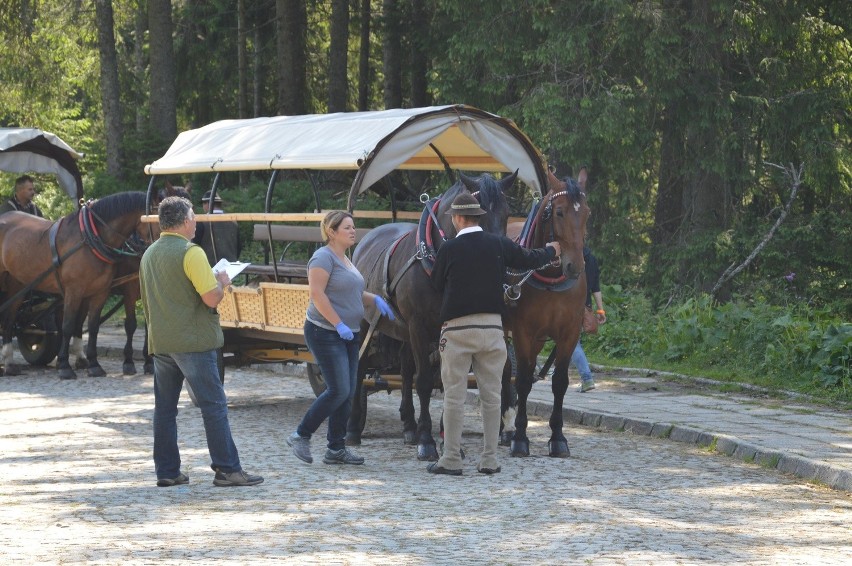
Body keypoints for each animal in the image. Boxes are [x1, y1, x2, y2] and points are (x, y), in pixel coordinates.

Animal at [0, 192, 151, 382]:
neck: (90, 238)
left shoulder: (99, 292)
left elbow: (93, 326)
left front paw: (95, 365)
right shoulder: (77, 290)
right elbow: (68, 325)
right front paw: (65, 367)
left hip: (18, 284)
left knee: (9, 320)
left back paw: (10, 363)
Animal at [352, 173, 516, 462]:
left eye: (507, 214)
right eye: (480, 216)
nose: (501, 269)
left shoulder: (448, 327)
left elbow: (446, 380)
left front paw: (449, 442)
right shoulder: (418, 326)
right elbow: (426, 381)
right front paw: (427, 442)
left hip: (403, 330)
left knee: (406, 368)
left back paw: (408, 426)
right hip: (367, 324)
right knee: (359, 367)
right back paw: (352, 429)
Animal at [502, 168, 588, 458]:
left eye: (587, 213)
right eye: (559, 212)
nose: (575, 266)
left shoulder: (569, 333)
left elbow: (559, 382)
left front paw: (558, 437)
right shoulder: (523, 332)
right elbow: (523, 380)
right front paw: (520, 437)